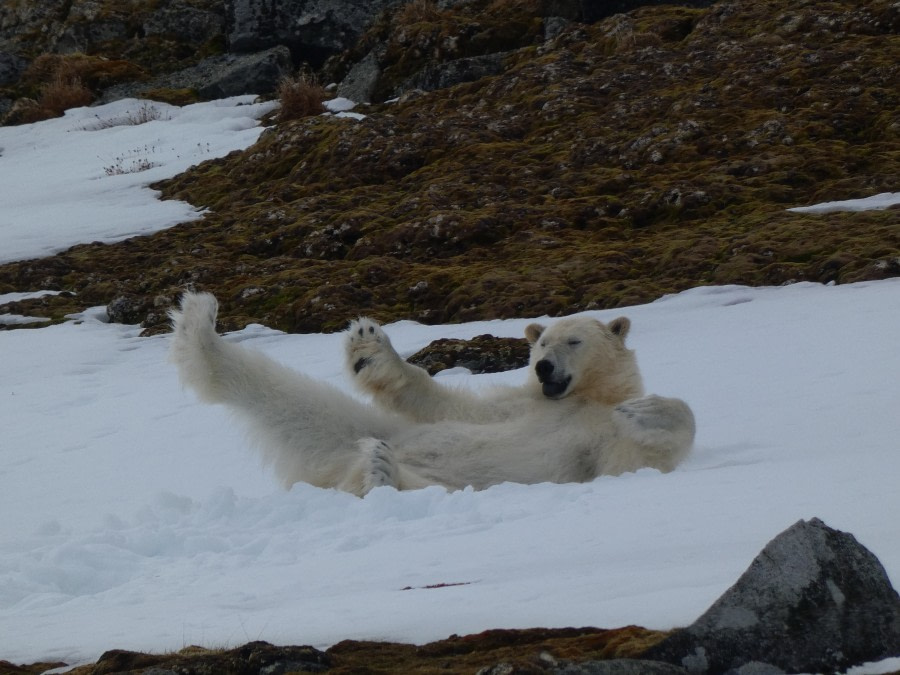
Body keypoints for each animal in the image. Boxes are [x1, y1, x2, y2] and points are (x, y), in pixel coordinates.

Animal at [171, 292, 696, 496]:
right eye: (542, 341)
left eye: (574, 341)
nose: (543, 366)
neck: (581, 399)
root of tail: (338, 473)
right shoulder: (515, 405)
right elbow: (449, 405)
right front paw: (368, 349)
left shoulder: (598, 443)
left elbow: (630, 460)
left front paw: (648, 410)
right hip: (369, 431)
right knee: (298, 402)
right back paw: (199, 326)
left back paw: (382, 472)